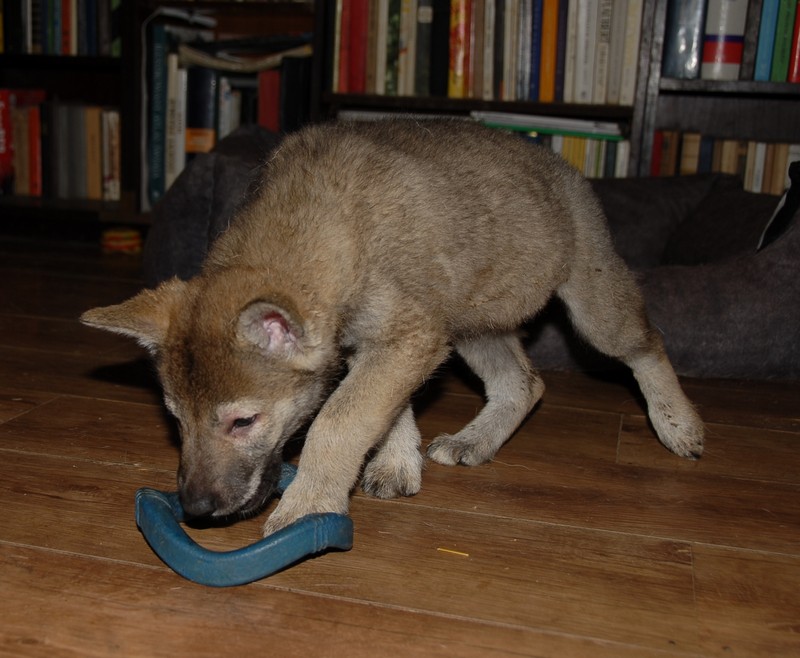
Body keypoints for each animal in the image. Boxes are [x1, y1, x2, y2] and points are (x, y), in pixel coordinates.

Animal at [82, 120, 704, 535]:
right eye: (174, 418)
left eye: (242, 421)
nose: (196, 510)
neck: (330, 226)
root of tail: (565, 171)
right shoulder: (391, 345)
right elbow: (386, 411)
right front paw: (397, 463)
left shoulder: (408, 339)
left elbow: (340, 420)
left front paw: (308, 505)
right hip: (473, 326)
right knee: (524, 384)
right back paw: (475, 441)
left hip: (592, 308)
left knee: (647, 345)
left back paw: (679, 426)